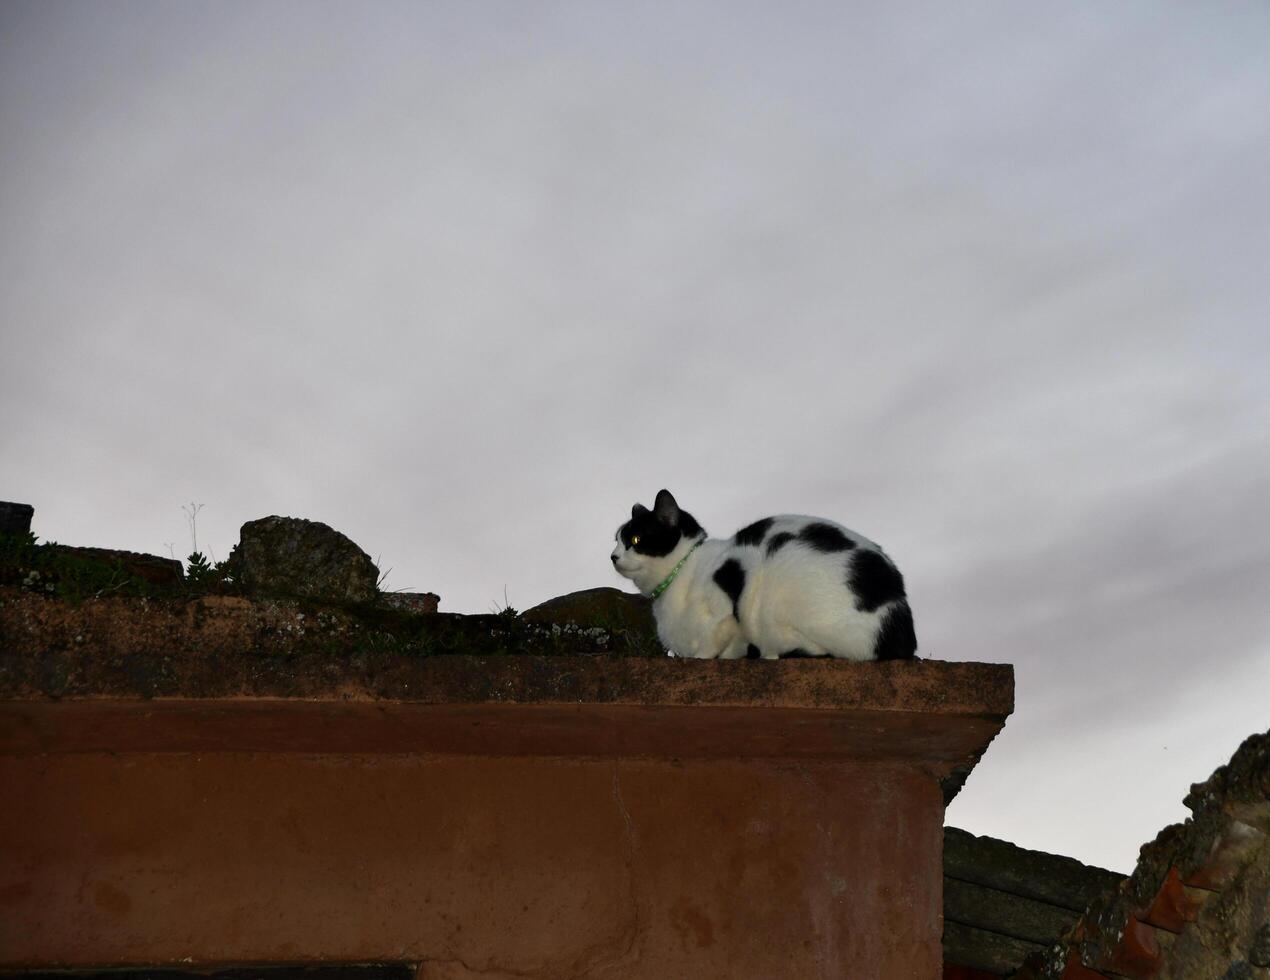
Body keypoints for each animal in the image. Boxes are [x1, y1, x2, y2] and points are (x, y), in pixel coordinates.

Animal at [612, 487, 919, 660]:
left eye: (635, 540)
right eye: (616, 540)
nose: (613, 556)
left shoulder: (731, 583)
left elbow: (713, 638)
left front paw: (705, 656)